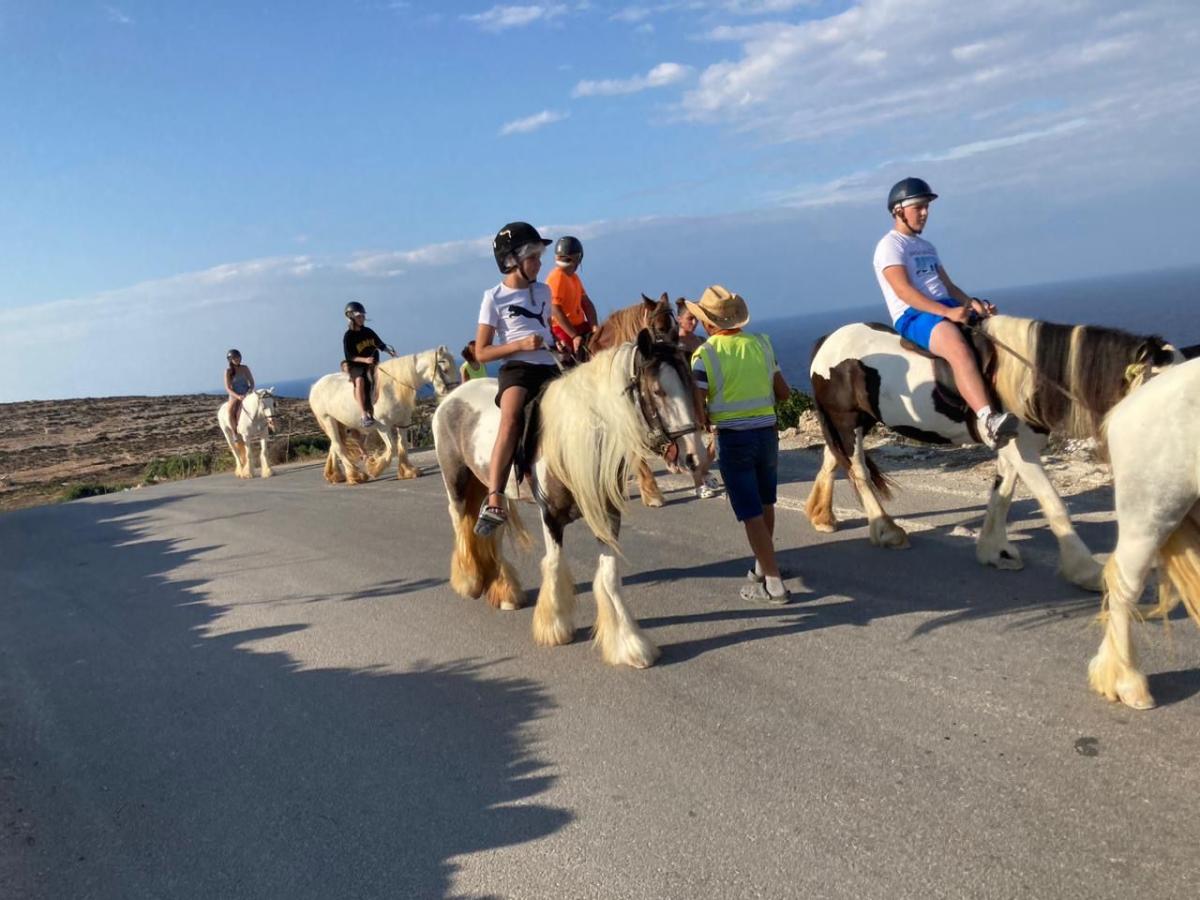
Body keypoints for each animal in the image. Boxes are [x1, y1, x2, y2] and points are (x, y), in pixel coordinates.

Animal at [309, 346, 458, 485]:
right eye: (444, 367)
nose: (451, 390)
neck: (392, 387)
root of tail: (315, 386)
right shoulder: (383, 426)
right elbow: (392, 448)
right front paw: (374, 468)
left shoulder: (403, 422)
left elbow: (402, 445)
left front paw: (408, 472)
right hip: (327, 419)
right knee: (339, 446)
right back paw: (356, 475)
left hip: (339, 422)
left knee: (334, 445)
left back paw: (336, 475)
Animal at [432, 330, 698, 668]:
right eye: (657, 391)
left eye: (688, 383)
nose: (692, 456)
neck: (577, 437)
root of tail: (450, 398)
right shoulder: (551, 515)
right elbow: (555, 564)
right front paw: (554, 627)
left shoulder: (606, 515)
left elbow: (609, 576)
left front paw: (629, 645)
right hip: (456, 482)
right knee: (460, 525)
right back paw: (468, 579)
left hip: (493, 491)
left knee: (494, 535)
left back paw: (505, 593)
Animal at [806, 315, 1182, 590]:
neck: (1028, 372)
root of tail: (827, 340)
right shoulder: (1022, 446)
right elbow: (1053, 504)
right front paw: (1085, 571)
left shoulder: (1014, 445)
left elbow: (1002, 494)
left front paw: (993, 550)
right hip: (847, 421)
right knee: (857, 469)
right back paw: (885, 530)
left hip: (861, 420)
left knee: (833, 457)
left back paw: (823, 516)